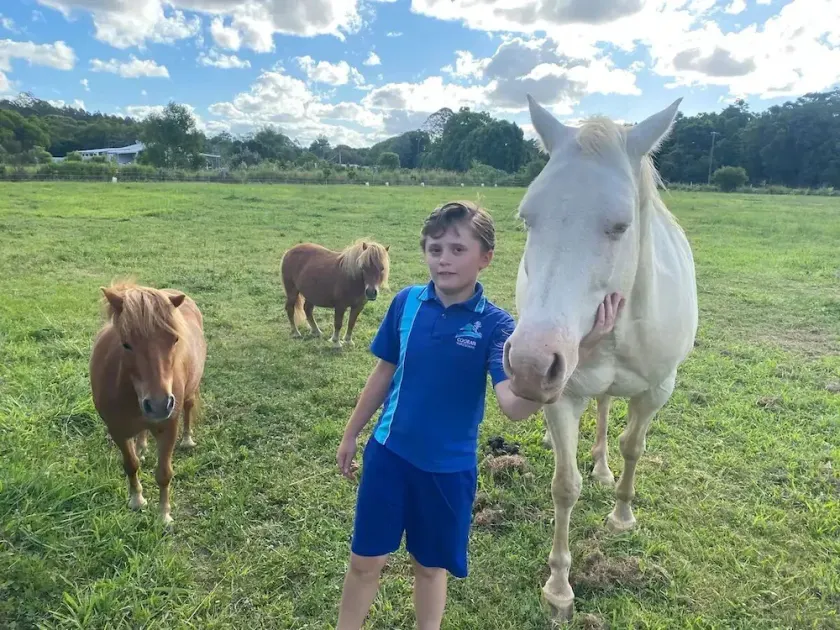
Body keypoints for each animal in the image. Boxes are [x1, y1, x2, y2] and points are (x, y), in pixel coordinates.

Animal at [89, 282, 207, 527]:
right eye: (126, 344)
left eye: (174, 339)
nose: (160, 405)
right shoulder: (117, 429)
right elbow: (131, 464)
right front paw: (137, 500)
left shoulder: (168, 428)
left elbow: (164, 473)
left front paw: (164, 515)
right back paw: (142, 447)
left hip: (190, 393)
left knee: (189, 409)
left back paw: (187, 440)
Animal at [503, 95, 698, 619]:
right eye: (528, 218)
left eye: (620, 225)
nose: (529, 365)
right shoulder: (563, 395)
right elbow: (564, 485)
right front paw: (558, 588)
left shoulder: (658, 390)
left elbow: (634, 447)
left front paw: (622, 513)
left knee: (611, 413)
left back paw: (605, 467)